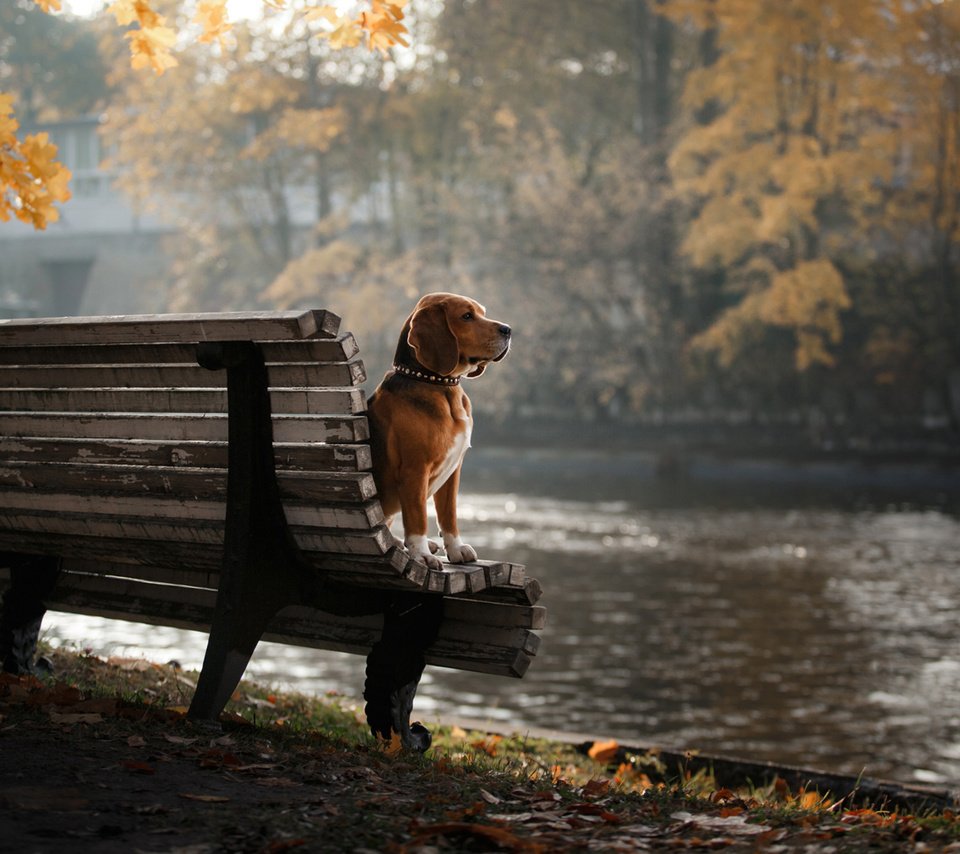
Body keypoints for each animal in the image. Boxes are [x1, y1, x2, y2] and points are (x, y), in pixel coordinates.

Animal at [366, 292, 510, 568]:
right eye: (467, 316)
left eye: (482, 312)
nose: (508, 329)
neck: (440, 385)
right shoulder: (415, 470)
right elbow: (418, 518)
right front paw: (421, 554)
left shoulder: (453, 472)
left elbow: (449, 515)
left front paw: (455, 549)